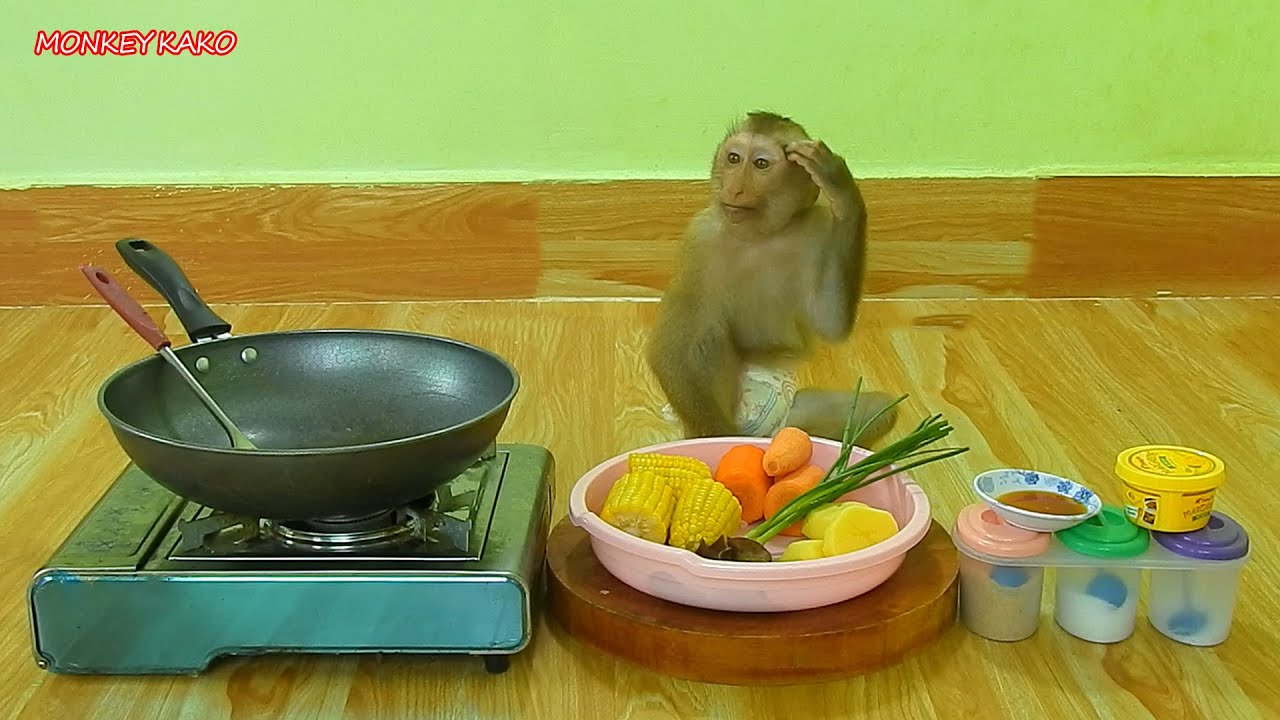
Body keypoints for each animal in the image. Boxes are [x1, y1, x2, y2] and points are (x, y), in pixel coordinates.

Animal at [646, 111, 898, 446]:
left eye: (761, 164)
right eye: (734, 158)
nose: (734, 188)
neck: (760, 237)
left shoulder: (818, 229)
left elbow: (830, 323)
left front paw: (842, 191)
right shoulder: (699, 239)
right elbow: (672, 350)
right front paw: (717, 437)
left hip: (788, 420)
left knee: (878, 409)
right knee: (710, 337)